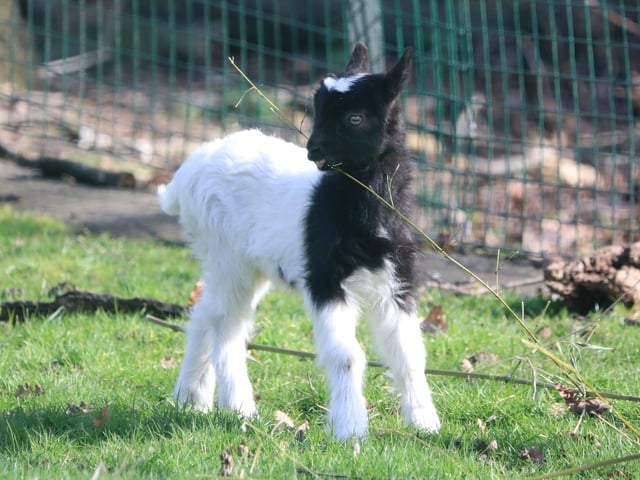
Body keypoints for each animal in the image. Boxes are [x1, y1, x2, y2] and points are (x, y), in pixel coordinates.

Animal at [158, 43, 440, 439]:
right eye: (318, 110)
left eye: (355, 118)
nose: (314, 150)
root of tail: (184, 174)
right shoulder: (325, 279)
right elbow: (347, 355)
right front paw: (350, 430)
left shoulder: (396, 281)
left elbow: (409, 354)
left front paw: (425, 423)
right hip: (226, 253)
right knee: (227, 323)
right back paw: (240, 406)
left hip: (234, 262)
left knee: (205, 311)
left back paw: (192, 398)